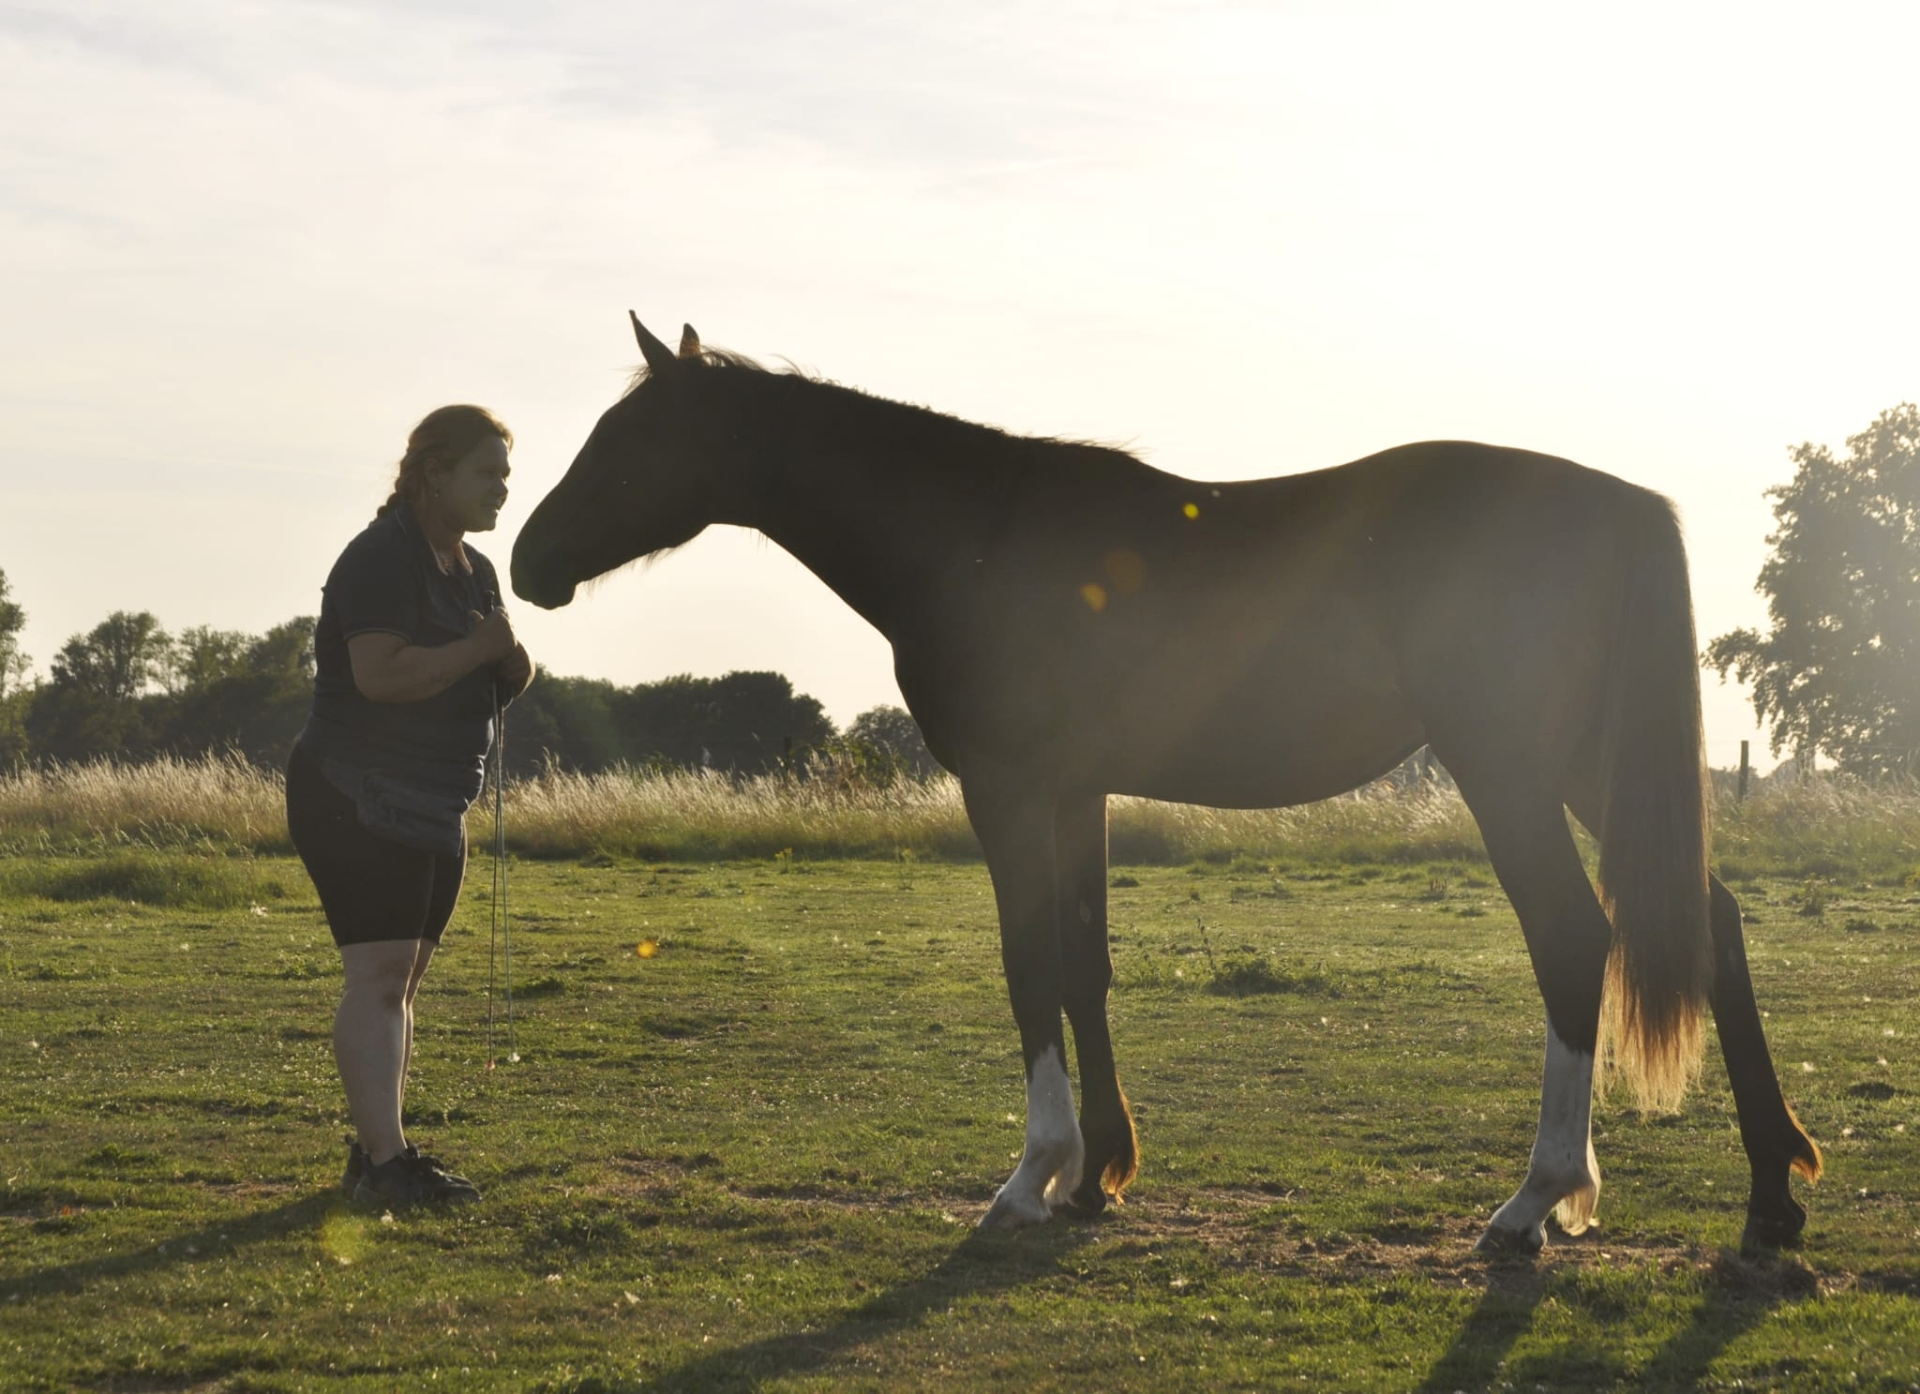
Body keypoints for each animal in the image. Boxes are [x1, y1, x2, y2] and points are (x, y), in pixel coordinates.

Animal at [511, 313, 1822, 1251]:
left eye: (629, 440)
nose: (527, 560)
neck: (976, 533)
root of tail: (1614, 501)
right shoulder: (1074, 791)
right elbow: (1082, 967)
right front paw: (1098, 1173)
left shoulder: (1008, 787)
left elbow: (1028, 965)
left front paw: (1029, 1176)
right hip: (1587, 770)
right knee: (1707, 918)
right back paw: (1771, 1190)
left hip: (1507, 767)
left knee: (1572, 937)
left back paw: (1537, 1199)